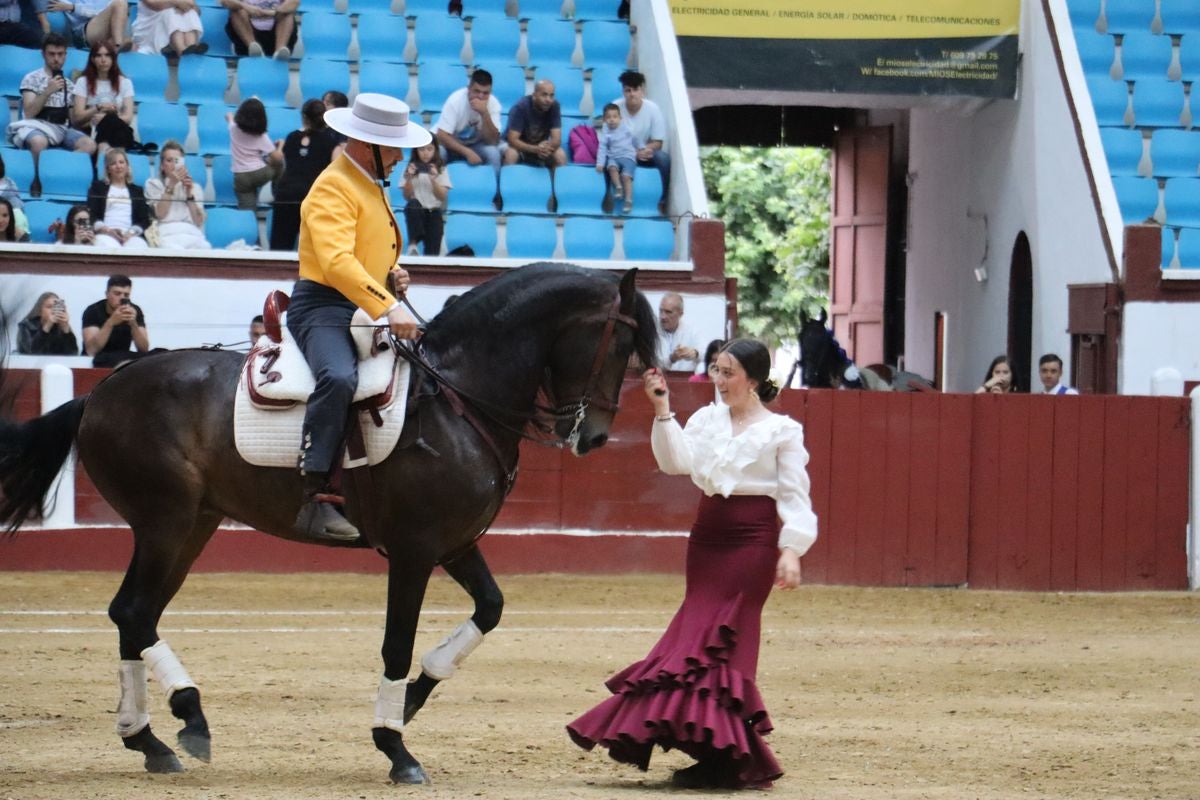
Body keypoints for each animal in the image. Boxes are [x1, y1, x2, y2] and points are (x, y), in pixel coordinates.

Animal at [0, 262, 659, 784]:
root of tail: (101, 391)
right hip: (166, 520)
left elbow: (490, 609)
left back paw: (152, 740)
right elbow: (397, 642)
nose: (594, 438)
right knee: (135, 613)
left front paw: (410, 703)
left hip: (193, 526)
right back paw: (184, 719)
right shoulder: (415, 550)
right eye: (620, 347)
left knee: (131, 615)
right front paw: (395, 747)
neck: (457, 395)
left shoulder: (455, 544)